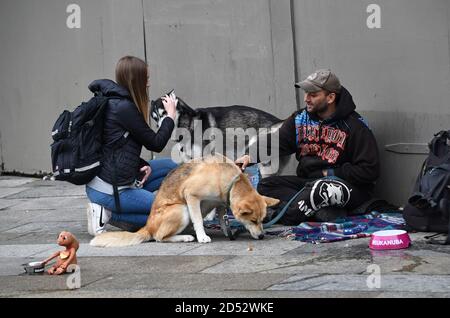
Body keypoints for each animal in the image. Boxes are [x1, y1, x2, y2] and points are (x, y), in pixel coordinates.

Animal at [89, 154, 280, 246]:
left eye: (262, 220)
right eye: (253, 220)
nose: (262, 236)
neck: (230, 180)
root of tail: (147, 227)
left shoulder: (220, 203)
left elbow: (222, 218)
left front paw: (228, 231)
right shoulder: (191, 196)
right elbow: (199, 220)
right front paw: (202, 237)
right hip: (181, 210)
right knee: (159, 237)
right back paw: (186, 237)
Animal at [149, 90, 290, 176]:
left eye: (165, 113)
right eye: (155, 118)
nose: (159, 127)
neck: (190, 124)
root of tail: (279, 121)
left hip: (265, 166)